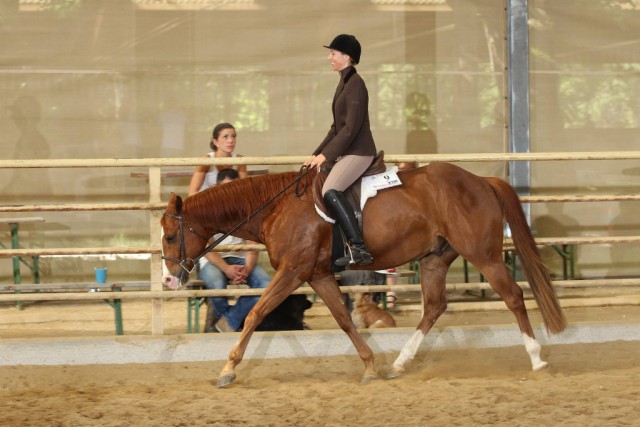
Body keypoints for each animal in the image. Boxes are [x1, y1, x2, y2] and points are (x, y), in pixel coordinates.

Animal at [162, 163, 568, 388]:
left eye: (168, 236)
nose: (168, 281)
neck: (276, 208)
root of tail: (481, 180)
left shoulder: (293, 271)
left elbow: (256, 314)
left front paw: (227, 370)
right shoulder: (318, 275)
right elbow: (344, 319)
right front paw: (371, 366)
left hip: (482, 254)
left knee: (513, 295)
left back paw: (537, 359)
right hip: (435, 258)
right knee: (434, 307)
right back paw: (400, 363)